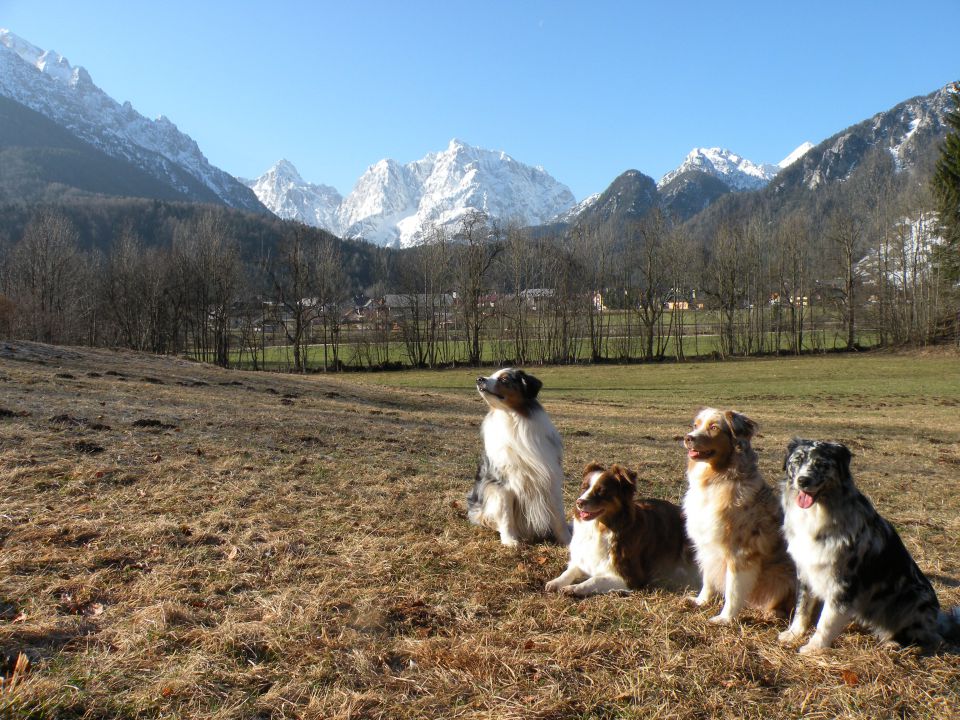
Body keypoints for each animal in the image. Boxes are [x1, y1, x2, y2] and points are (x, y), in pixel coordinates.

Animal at [466, 372, 568, 544]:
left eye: (504, 379)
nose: (479, 379)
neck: (512, 418)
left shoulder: (551, 478)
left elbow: (559, 515)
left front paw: (568, 540)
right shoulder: (502, 484)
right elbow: (506, 515)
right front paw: (510, 541)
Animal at [544, 462, 692, 596]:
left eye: (601, 491)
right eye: (584, 488)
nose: (579, 502)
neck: (599, 528)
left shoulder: (631, 577)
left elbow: (596, 579)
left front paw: (573, 588)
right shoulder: (584, 560)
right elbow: (569, 571)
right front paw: (556, 582)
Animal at [684, 408, 796, 620]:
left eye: (714, 427)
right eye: (695, 425)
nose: (687, 438)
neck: (716, 479)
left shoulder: (740, 553)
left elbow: (733, 590)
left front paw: (725, 619)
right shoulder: (706, 544)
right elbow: (707, 578)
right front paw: (701, 601)